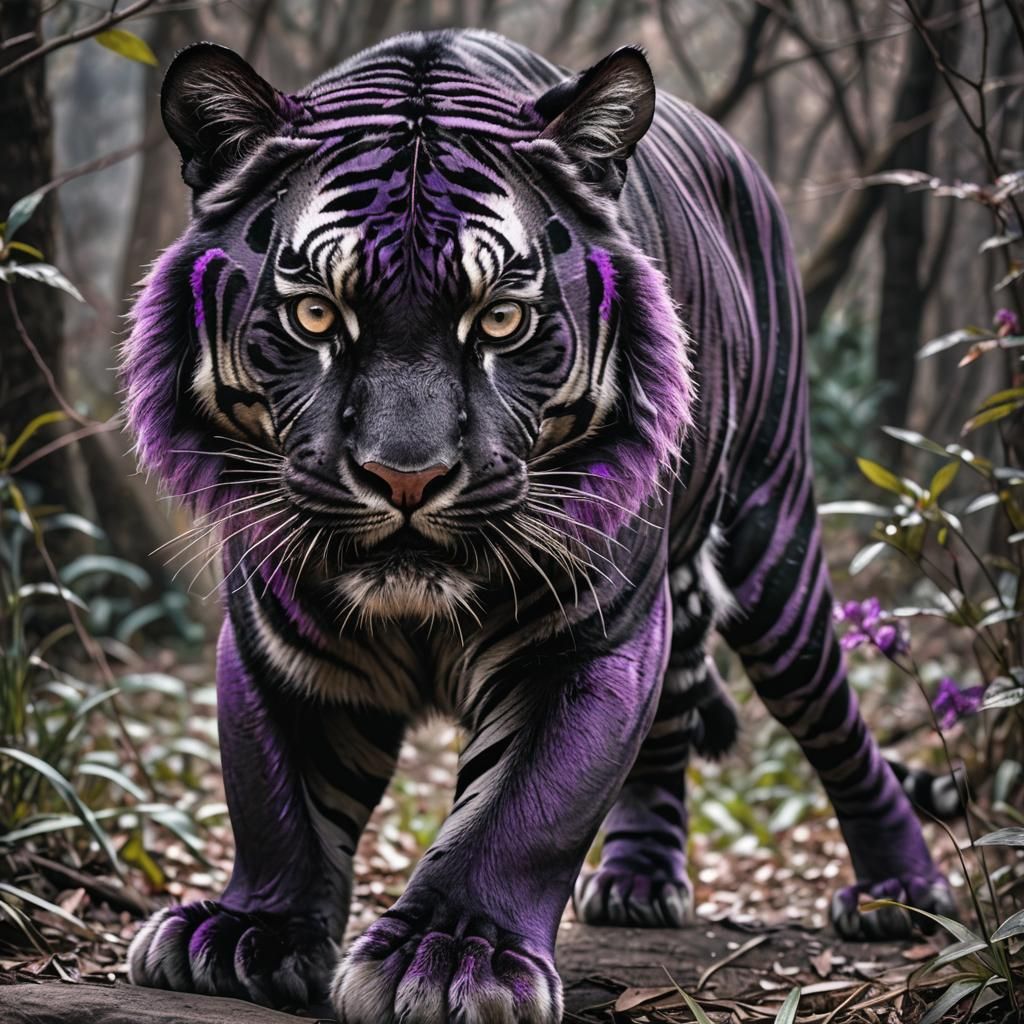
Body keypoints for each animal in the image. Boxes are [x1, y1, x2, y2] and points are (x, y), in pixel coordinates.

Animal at [122, 28, 955, 1023]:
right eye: (317, 314)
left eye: (501, 321)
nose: (407, 476)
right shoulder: (277, 640)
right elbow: (275, 789)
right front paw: (252, 930)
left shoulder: (587, 637)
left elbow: (523, 811)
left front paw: (451, 956)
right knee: (671, 725)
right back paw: (639, 881)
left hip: (772, 547)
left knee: (834, 719)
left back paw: (900, 892)